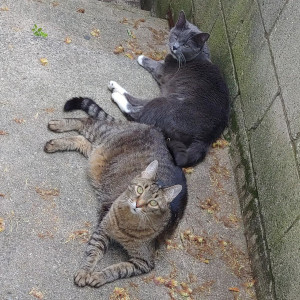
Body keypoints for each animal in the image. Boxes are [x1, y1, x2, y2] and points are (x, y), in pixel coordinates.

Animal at [44, 97, 188, 288]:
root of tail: (153, 128)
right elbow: (93, 253)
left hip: (97, 153)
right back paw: (58, 125)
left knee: (82, 140)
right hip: (101, 132)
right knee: (85, 121)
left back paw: (56, 142)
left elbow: (118, 269)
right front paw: (85, 271)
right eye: (140, 189)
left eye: (153, 203)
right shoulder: (103, 229)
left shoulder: (144, 262)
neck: (129, 223)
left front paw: (98, 276)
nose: (138, 204)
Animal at [109, 9, 229, 166]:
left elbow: (154, 64)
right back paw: (116, 88)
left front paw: (141, 57)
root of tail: (207, 137)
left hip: (167, 103)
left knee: (139, 114)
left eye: (186, 45)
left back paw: (116, 94)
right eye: (176, 36)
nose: (175, 47)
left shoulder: (164, 71)